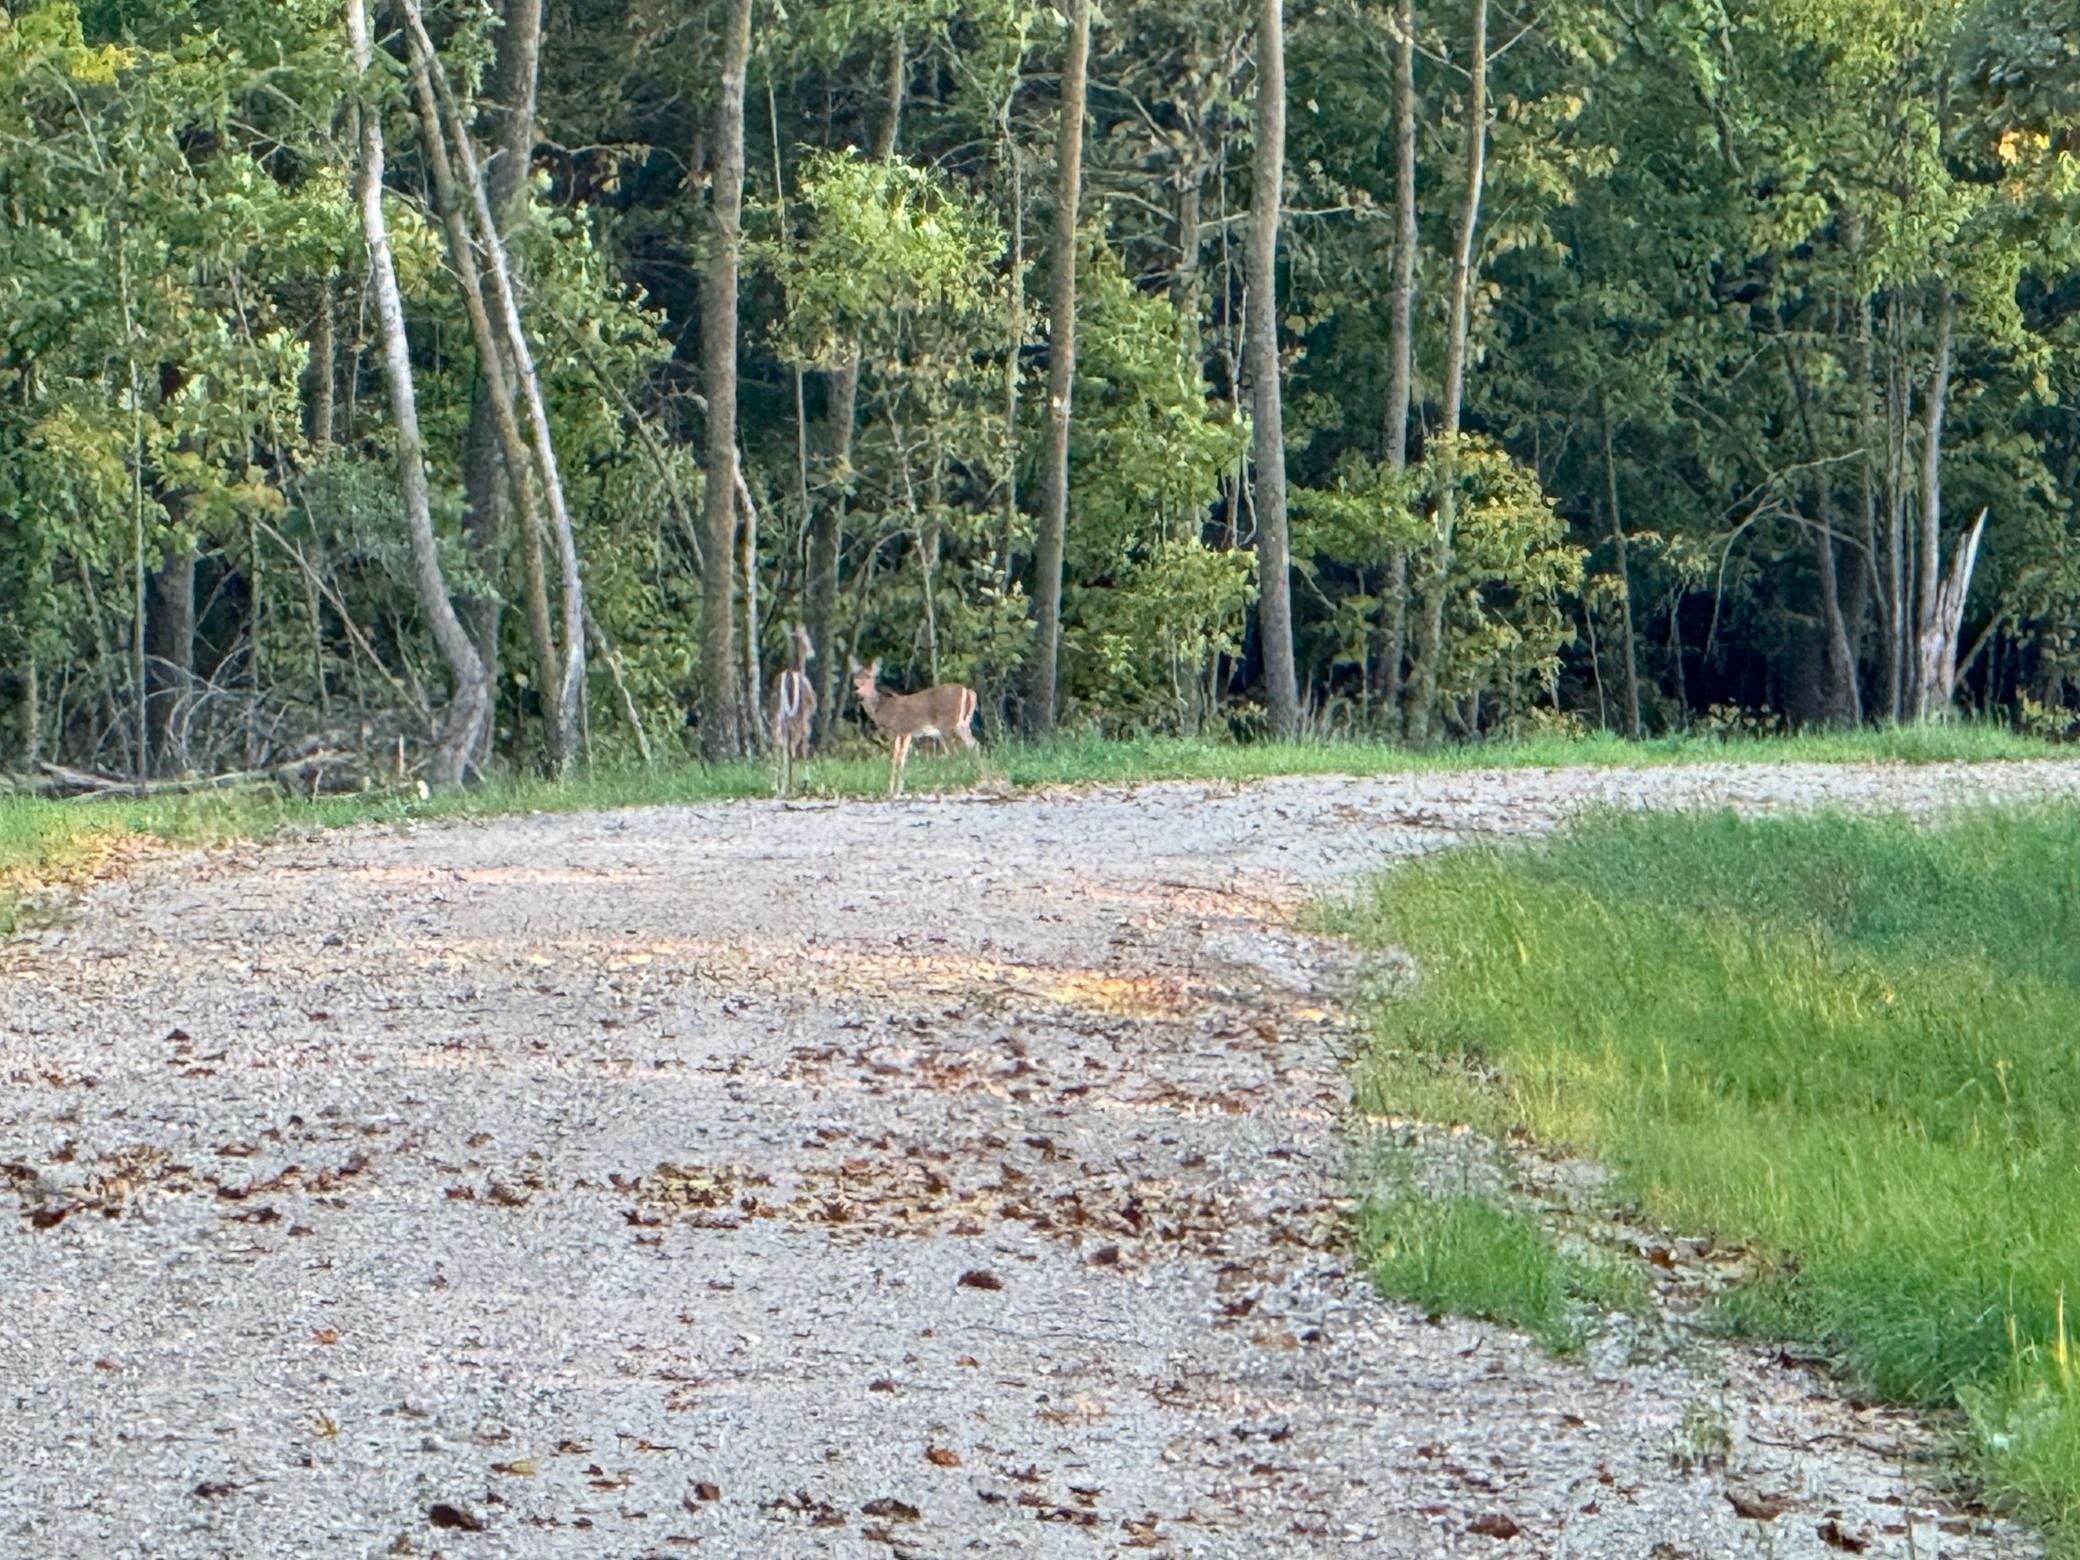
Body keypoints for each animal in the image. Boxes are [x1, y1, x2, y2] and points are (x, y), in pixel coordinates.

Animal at [769, 628, 815, 798]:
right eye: (807, 639)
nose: (812, 653)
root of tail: (789, 675)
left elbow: (787, 747)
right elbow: (800, 746)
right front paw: (803, 783)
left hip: (776, 711)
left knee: (777, 741)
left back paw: (777, 787)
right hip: (801, 713)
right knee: (799, 743)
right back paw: (801, 783)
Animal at [844, 657, 973, 798]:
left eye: (869, 678)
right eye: (855, 679)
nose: (858, 694)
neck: (882, 710)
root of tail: (967, 691)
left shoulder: (899, 730)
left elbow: (896, 758)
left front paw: (892, 790)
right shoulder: (908, 733)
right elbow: (903, 759)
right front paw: (899, 789)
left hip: (947, 725)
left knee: (956, 751)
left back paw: (953, 781)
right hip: (963, 724)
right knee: (972, 744)